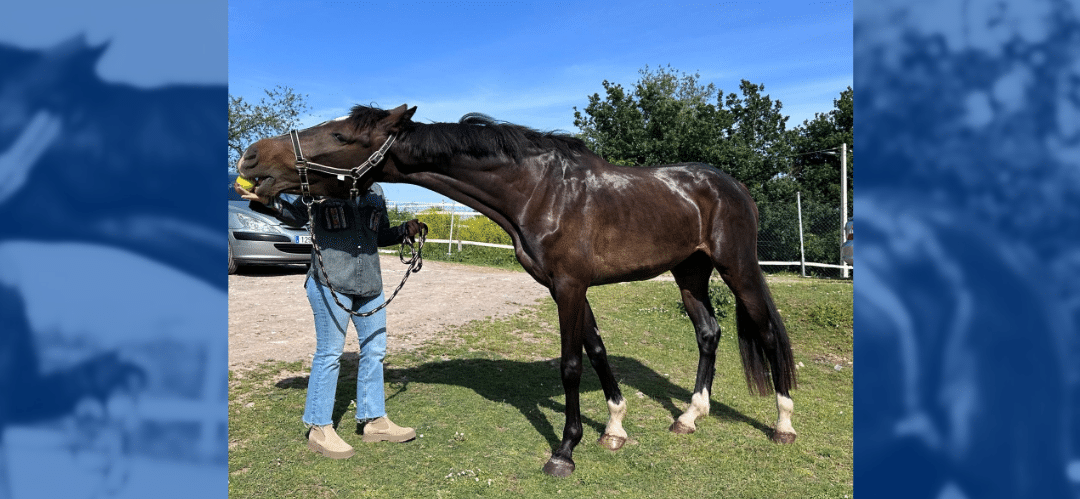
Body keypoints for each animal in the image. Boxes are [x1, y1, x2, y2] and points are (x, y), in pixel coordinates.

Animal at [234, 103, 794, 477]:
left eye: (340, 134)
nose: (252, 158)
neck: (541, 191)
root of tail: (732, 186)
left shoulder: (569, 287)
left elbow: (571, 364)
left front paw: (564, 452)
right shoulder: (564, 288)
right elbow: (596, 349)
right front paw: (613, 428)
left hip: (737, 269)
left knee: (767, 333)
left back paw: (784, 423)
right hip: (690, 273)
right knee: (708, 332)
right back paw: (689, 417)